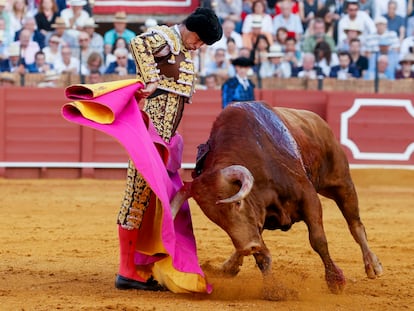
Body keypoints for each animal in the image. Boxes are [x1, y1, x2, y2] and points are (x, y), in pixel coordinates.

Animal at [171, 102, 382, 298]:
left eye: (238, 203)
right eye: (215, 219)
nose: (248, 247)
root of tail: (318, 121)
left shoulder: (309, 198)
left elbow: (318, 240)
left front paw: (336, 281)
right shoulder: (257, 221)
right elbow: (262, 257)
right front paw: (274, 291)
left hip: (341, 182)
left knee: (355, 224)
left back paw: (372, 265)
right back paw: (229, 266)